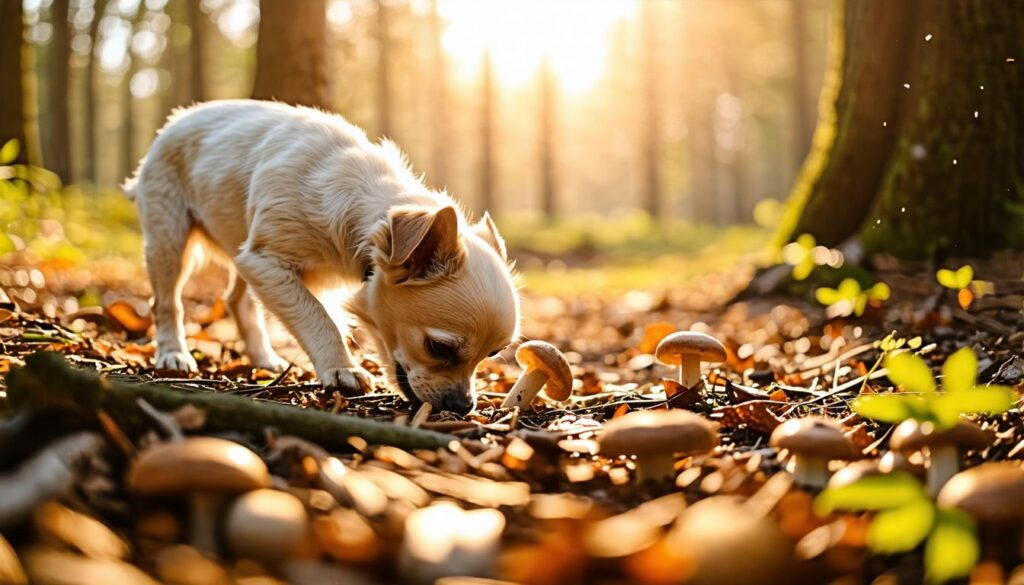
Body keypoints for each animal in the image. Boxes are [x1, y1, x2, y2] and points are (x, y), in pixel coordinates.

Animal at [124, 99, 520, 411]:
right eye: (438, 347)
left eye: (490, 356)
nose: (463, 407)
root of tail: (175, 120)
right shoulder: (267, 262)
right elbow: (319, 318)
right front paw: (342, 369)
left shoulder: (262, 262)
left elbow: (326, 316)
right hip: (170, 239)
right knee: (167, 302)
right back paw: (173, 352)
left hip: (240, 247)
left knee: (238, 300)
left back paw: (264, 358)